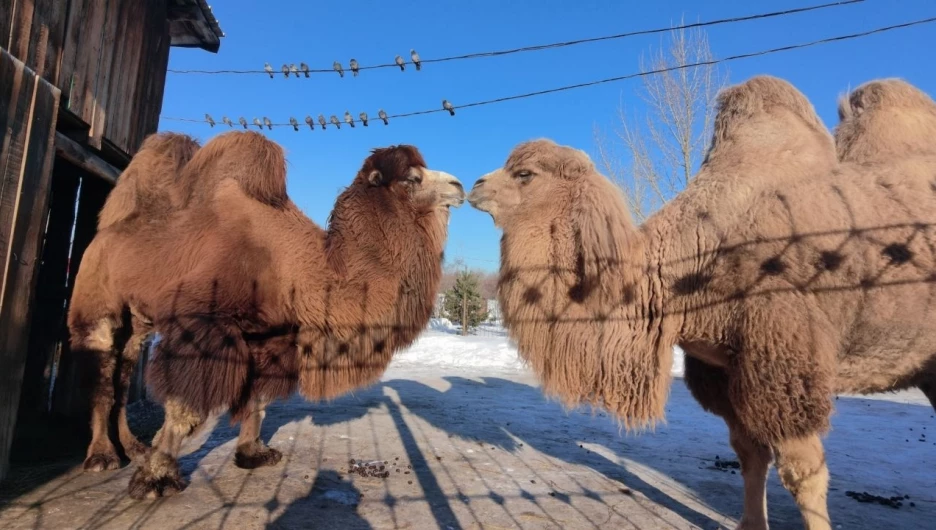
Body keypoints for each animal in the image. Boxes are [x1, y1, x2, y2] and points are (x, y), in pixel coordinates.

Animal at [67, 130, 466, 498]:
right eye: (412, 177)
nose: (459, 185)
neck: (297, 268)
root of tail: (106, 232)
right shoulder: (203, 324)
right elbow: (185, 407)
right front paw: (156, 478)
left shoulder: (274, 336)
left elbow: (259, 399)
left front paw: (252, 453)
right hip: (97, 303)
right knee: (102, 370)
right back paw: (102, 457)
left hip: (141, 321)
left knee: (124, 370)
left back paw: (132, 446)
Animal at [472, 75, 936, 528]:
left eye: (525, 173)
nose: (475, 185)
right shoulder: (723, 368)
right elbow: (750, 455)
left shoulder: (786, 365)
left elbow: (803, 474)